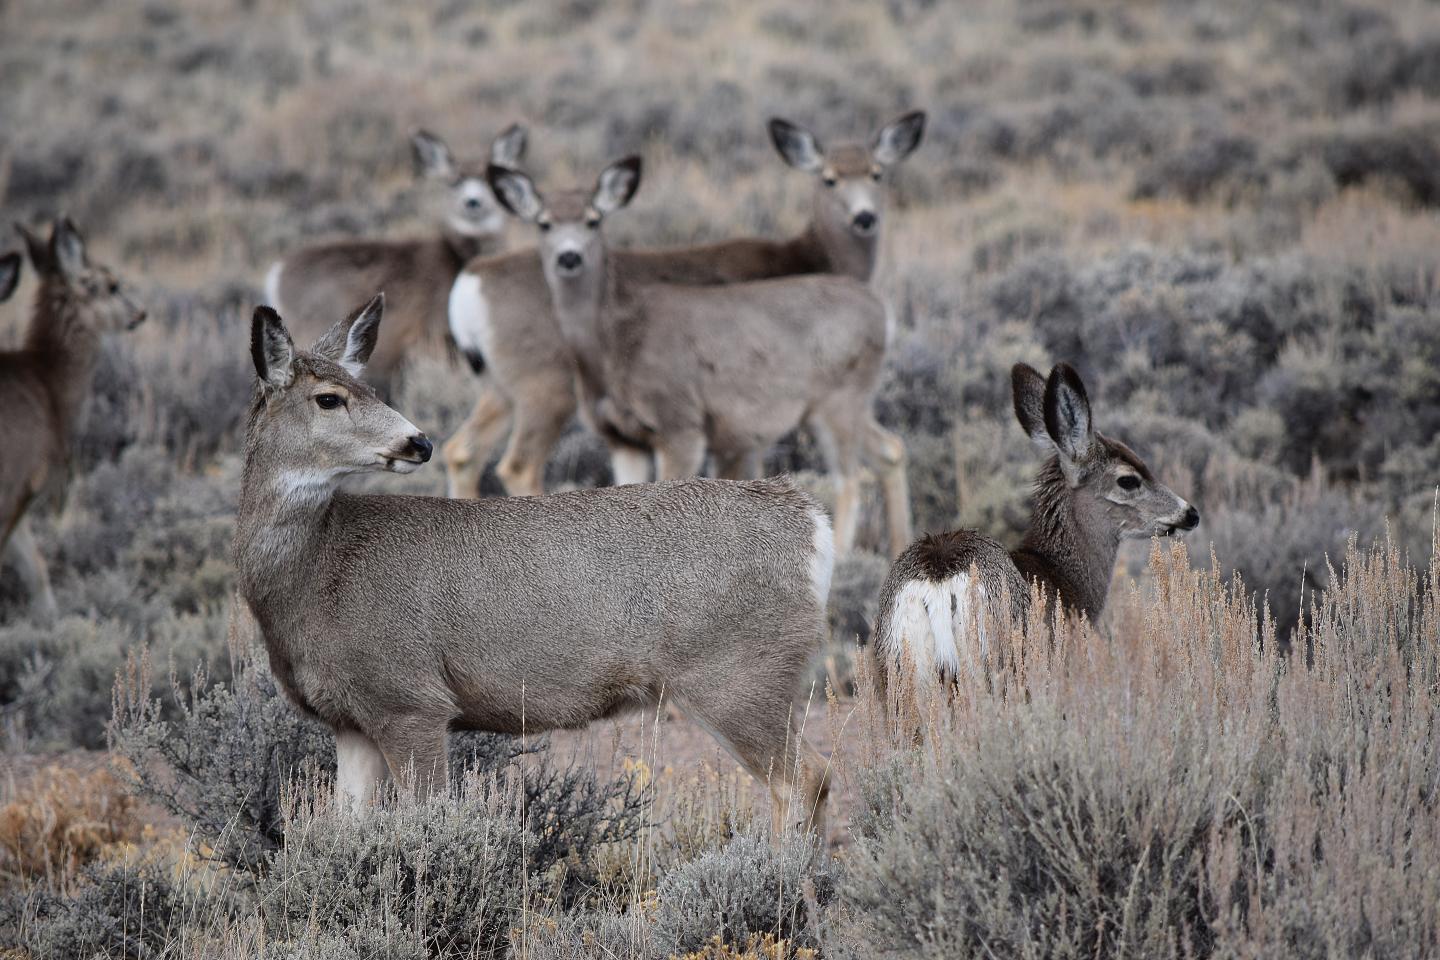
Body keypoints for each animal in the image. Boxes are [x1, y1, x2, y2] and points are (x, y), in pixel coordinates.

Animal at [1, 219, 147, 623]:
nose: (141, 313)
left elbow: (36, 569)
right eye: (112, 284)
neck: (49, 383)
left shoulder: (21, 498)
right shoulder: (17, 484)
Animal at [234, 295, 834, 837]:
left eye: (372, 391)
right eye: (329, 398)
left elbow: (427, 818)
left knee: (804, 778)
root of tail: (811, 524)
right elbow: (347, 825)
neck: (316, 574)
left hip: (736, 674)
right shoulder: (349, 718)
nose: (419, 442)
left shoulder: (409, 698)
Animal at [264, 124, 527, 394]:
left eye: (487, 178)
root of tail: (276, 273)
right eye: (453, 181)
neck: (458, 260)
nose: (473, 202)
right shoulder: (439, 334)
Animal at [443, 111, 926, 508]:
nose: (864, 218)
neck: (810, 257)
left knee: (461, 452)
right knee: (517, 464)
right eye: (828, 179)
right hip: (542, 385)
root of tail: (470, 281)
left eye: (878, 174)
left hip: (498, 387)